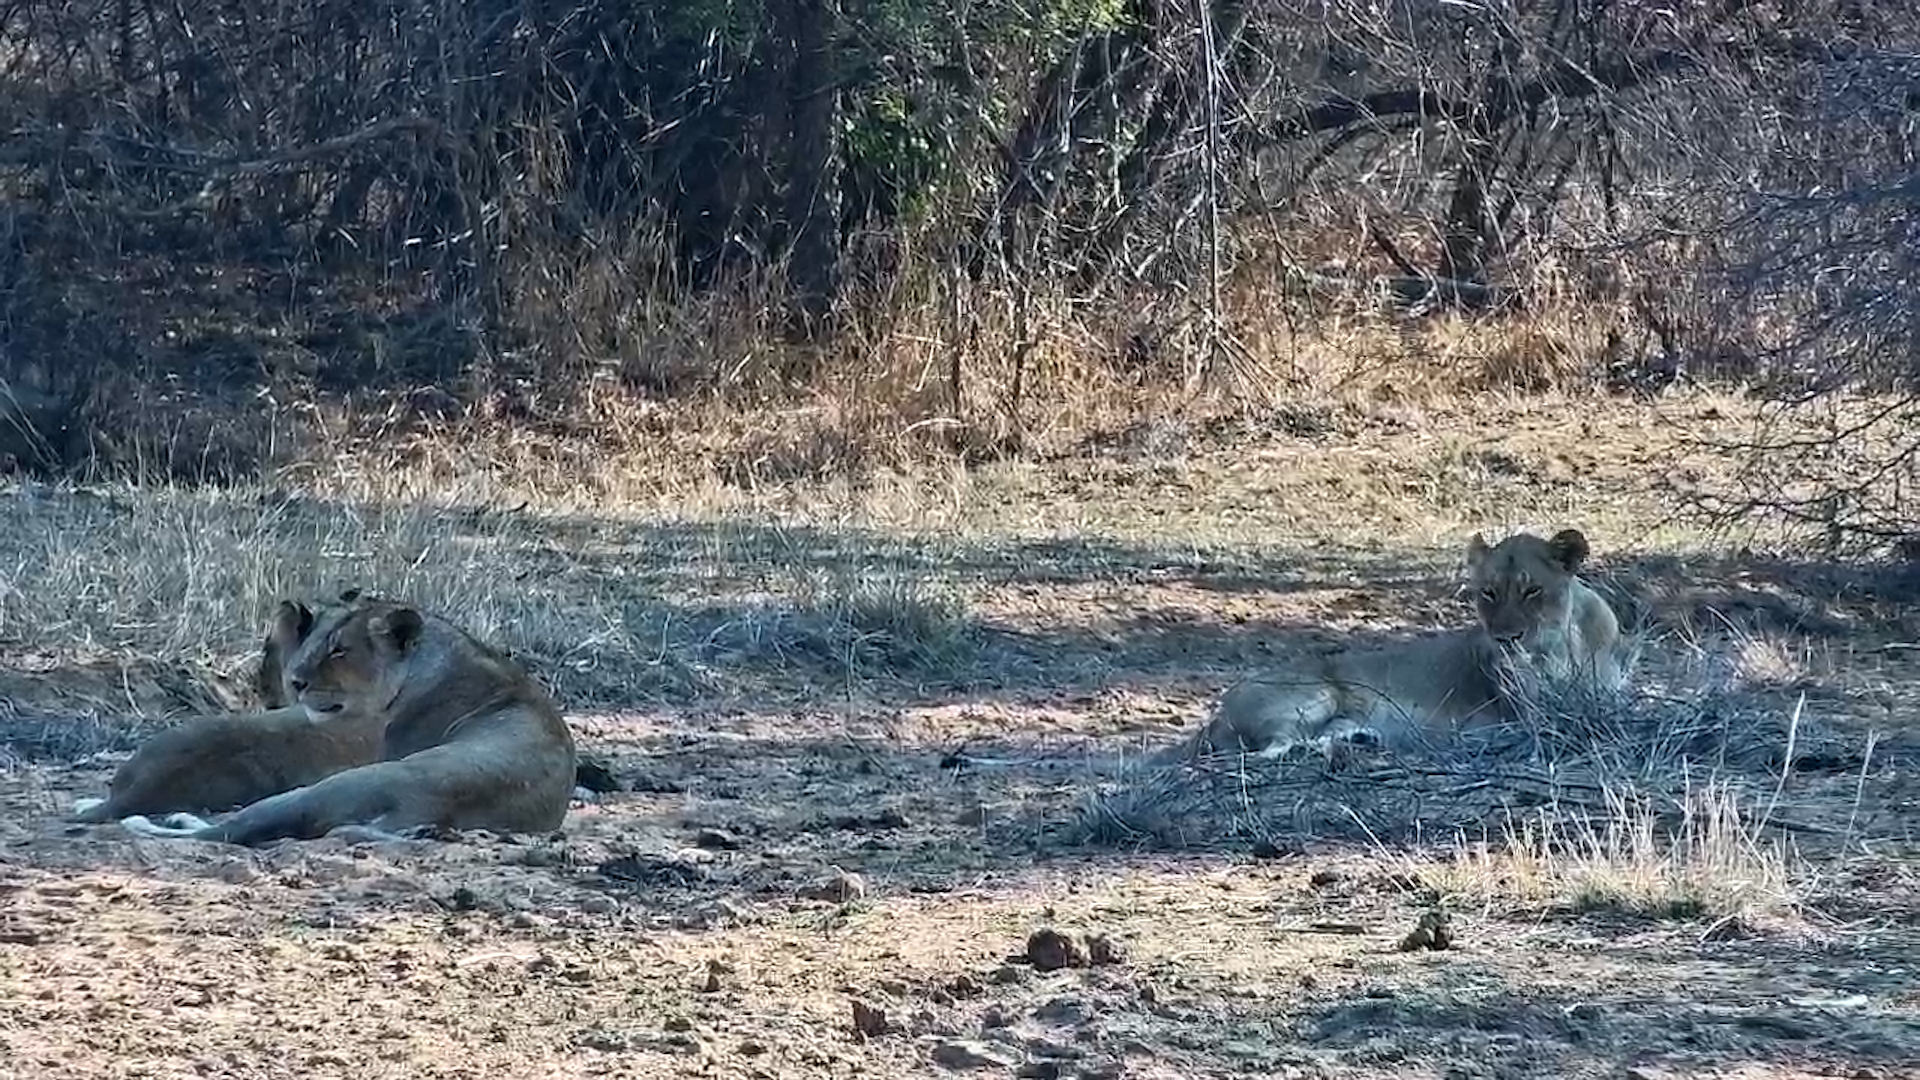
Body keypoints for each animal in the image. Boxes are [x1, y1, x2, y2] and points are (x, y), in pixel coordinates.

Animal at [120, 596, 577, 846]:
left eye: (339, 650)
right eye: (313, 642)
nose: (297, 681)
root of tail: (426, 807)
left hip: (328, 787)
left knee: (230, 830)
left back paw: (157, 822)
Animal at [1169, 527, 1625, 761]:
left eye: (1533, 591)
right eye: (1488, 593)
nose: (1505, 638)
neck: (1563, 644)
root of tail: (1218, 710)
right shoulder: (1529, 711)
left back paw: (1364, 741)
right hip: (1314, 693)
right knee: (1272, 748)